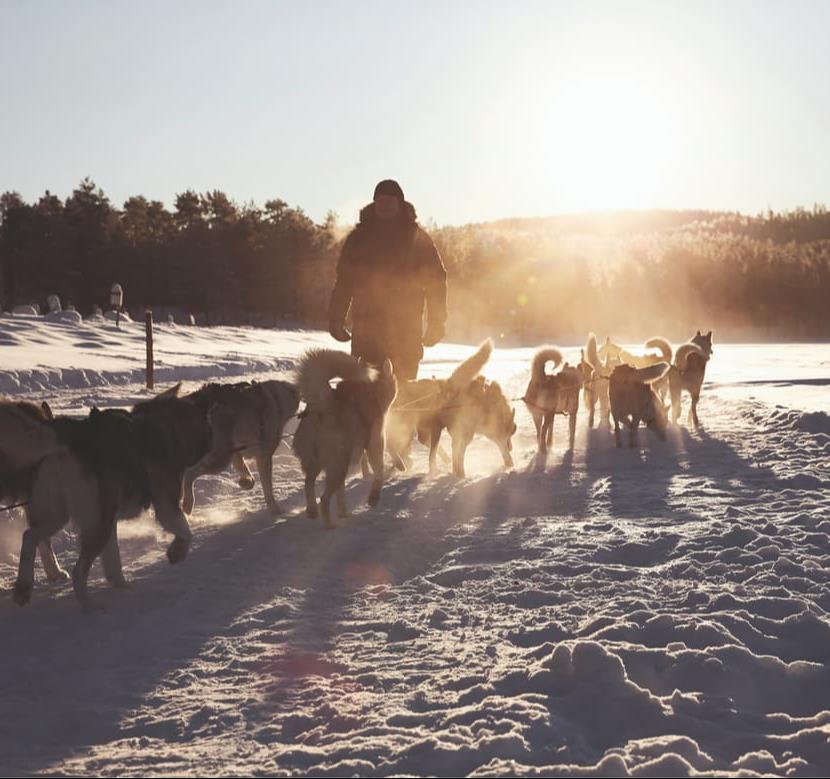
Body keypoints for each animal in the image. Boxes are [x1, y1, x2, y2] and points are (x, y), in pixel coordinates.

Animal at [182, 380, 302, 516]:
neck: (276, 398)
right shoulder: (263, 457)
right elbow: (268, 488)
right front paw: (274, 509)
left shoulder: (237, 454)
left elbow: (249, 476)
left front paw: (245, 482)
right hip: (220, 459)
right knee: (189, 473)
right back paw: (187, 504)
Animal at [296, 350, 400, 528]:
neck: (373, 391)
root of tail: (324, 403)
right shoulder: (374, 445)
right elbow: (379, 472)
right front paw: (373, 498)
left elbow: (341, 494)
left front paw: (343, 513)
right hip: (338, 466)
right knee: (324, 498)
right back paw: (329, 525)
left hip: (319, 463)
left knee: (308, 483)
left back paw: (312, 511)